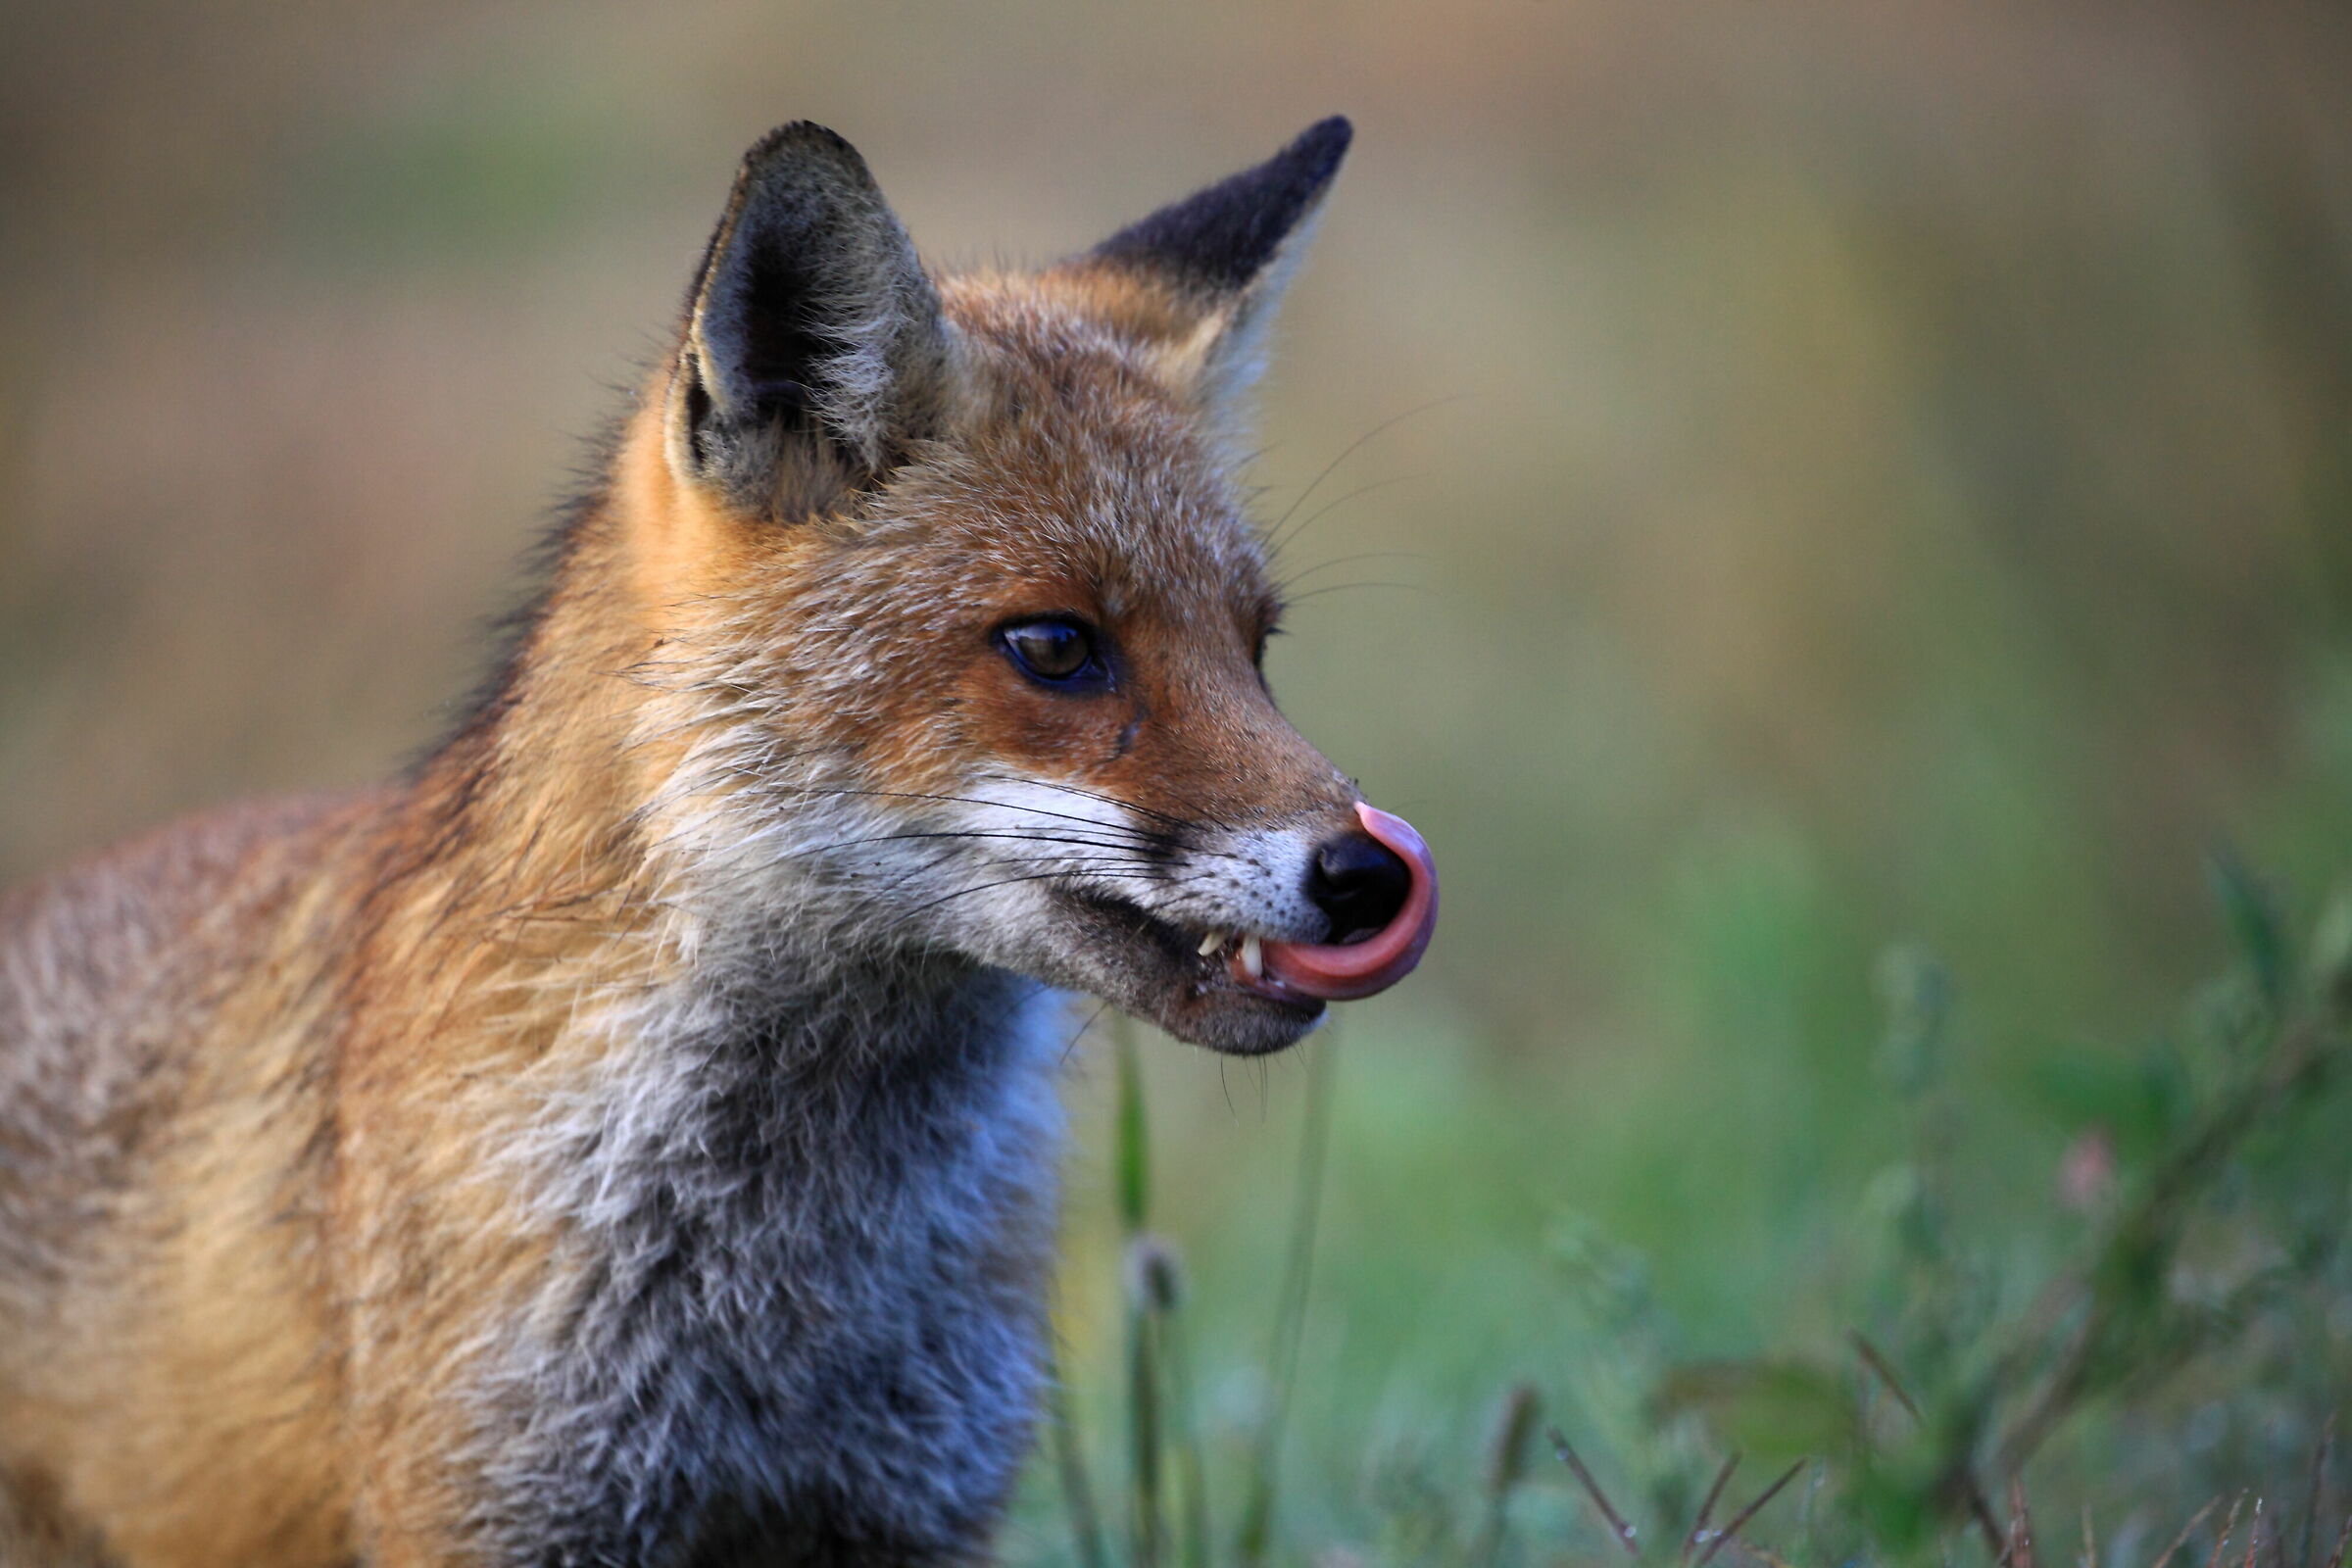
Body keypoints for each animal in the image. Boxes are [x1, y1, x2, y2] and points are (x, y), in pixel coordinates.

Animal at [0, 116, 1438, 1566]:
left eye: (1256, 647)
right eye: (1055, 647)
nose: (1369, 874)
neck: (784, 1289)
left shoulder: (905, 1507)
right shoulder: (509, 1512)